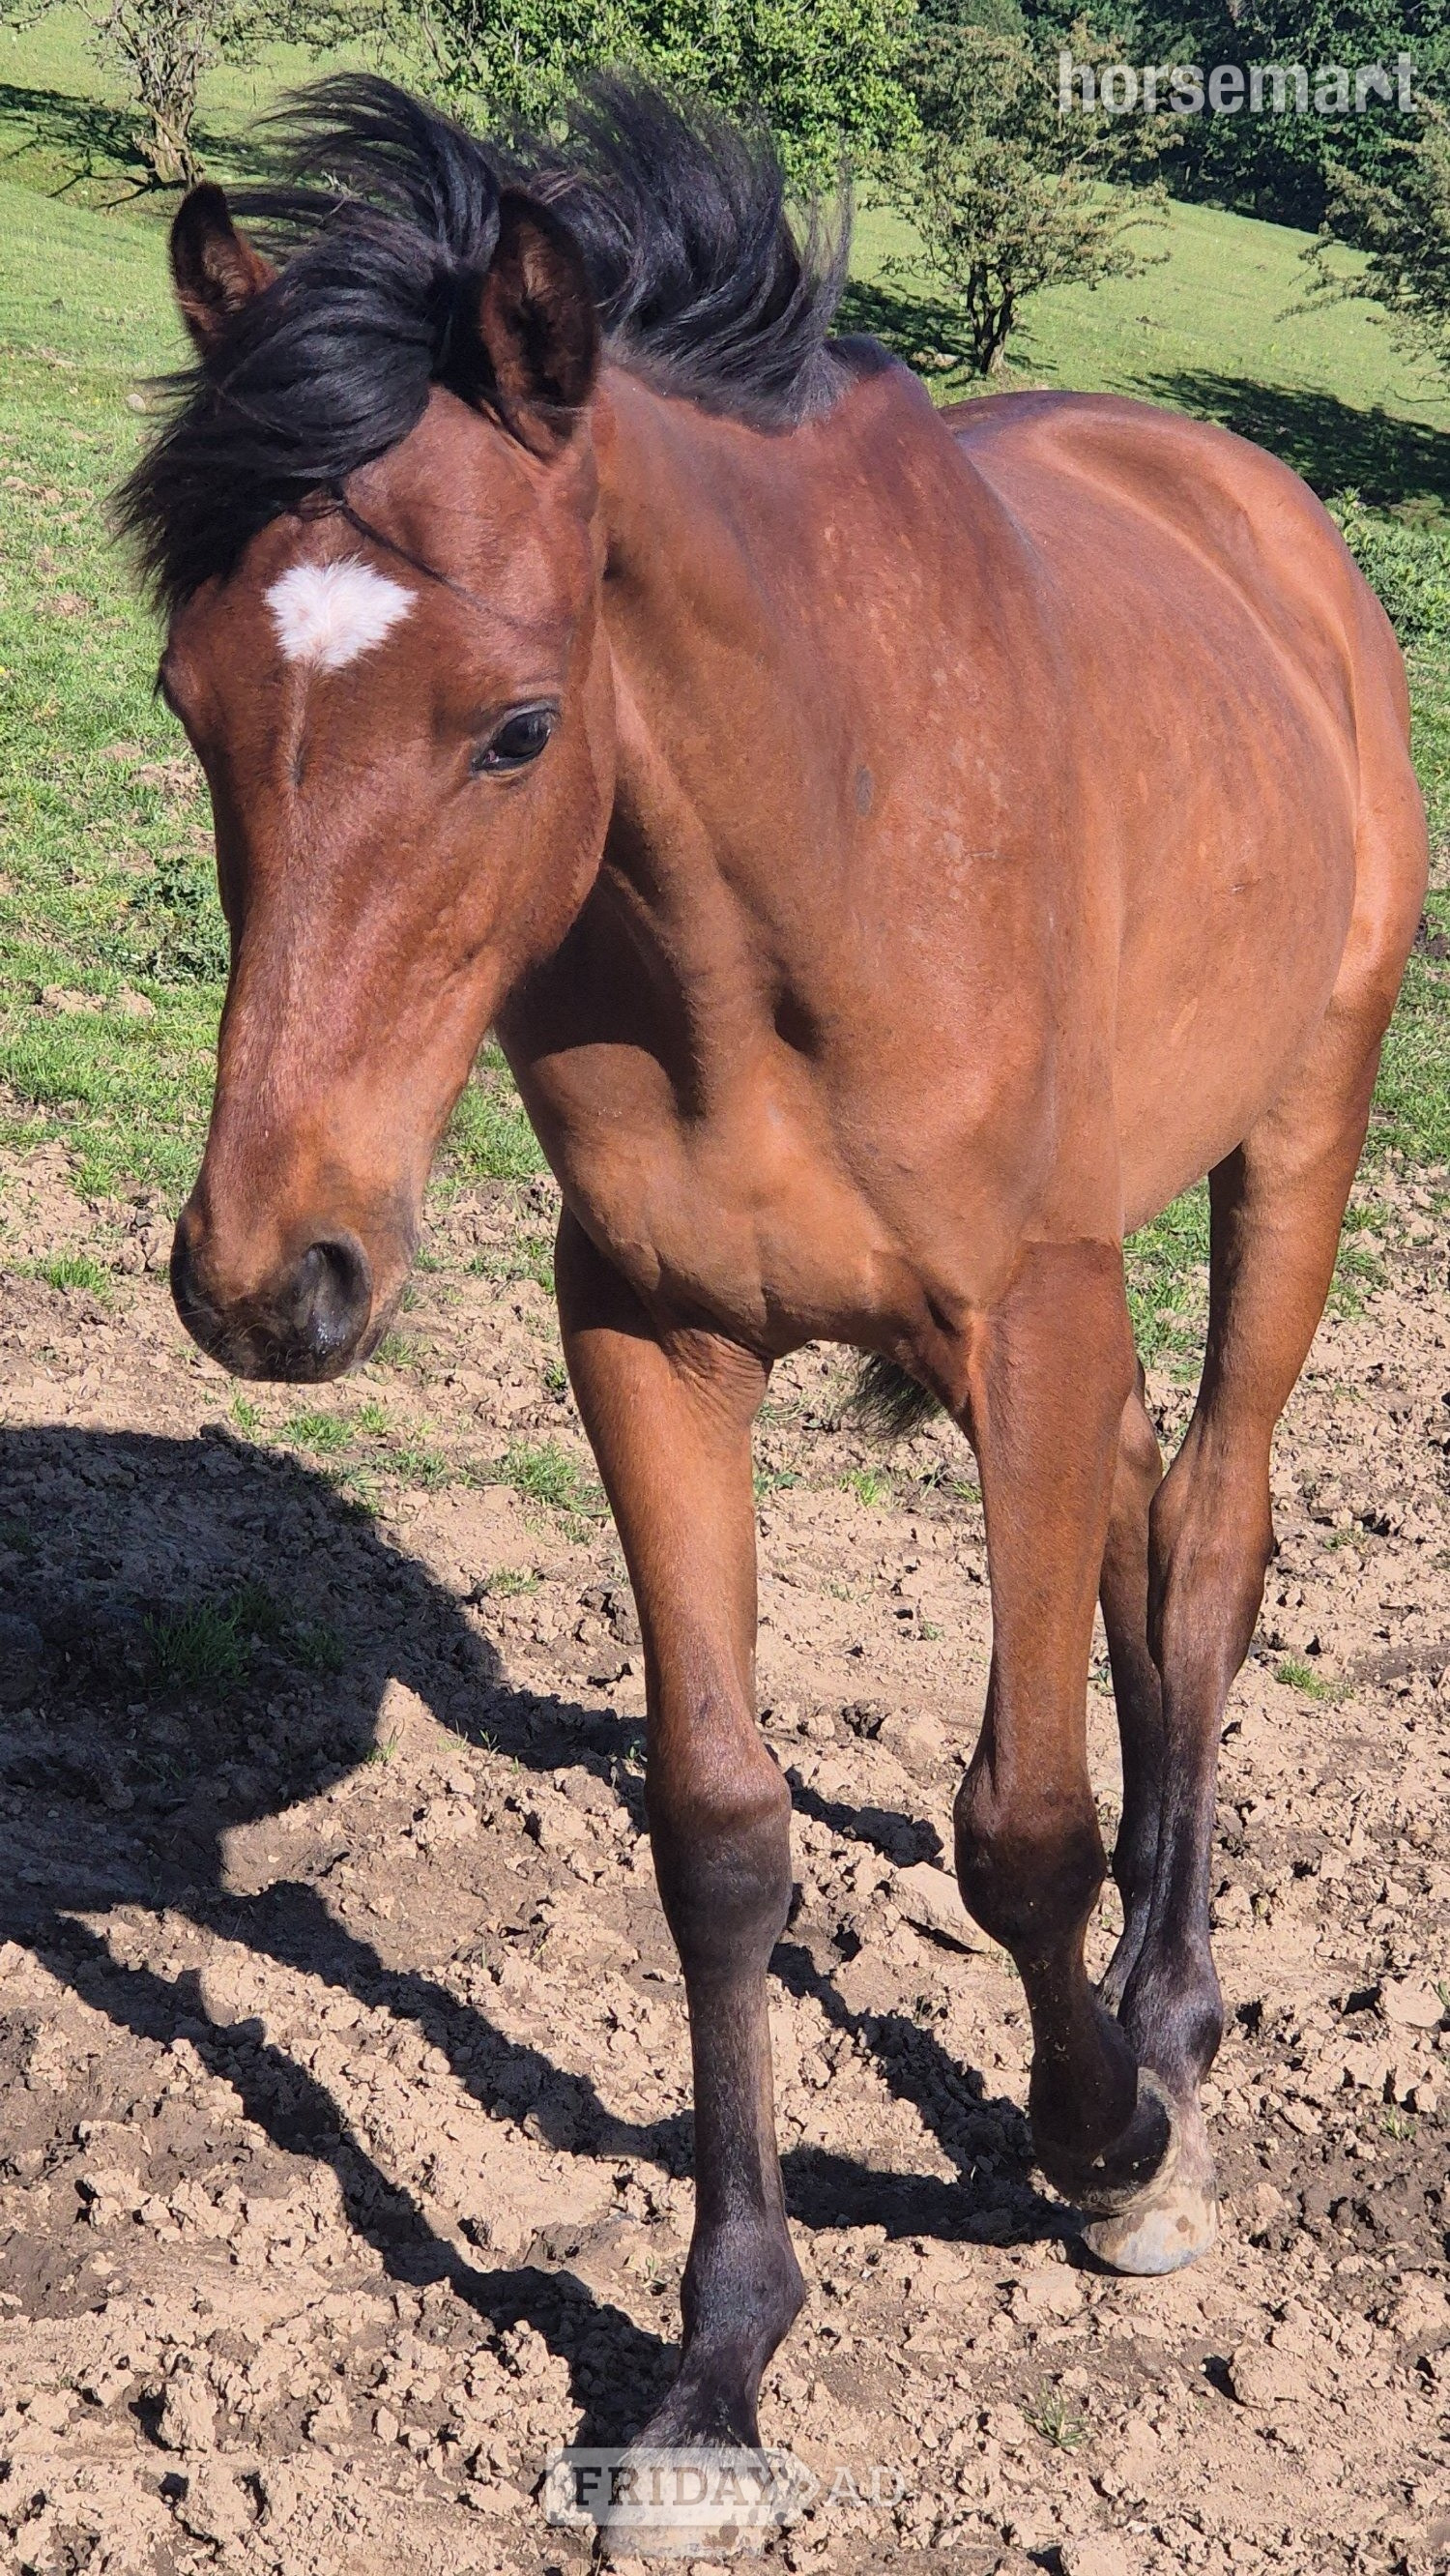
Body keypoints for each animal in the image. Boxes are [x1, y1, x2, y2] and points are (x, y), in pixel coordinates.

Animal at [119, 73, 1426, 2544]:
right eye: (192, 698)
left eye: (517, 726)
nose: (269, 1275)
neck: (794, 864)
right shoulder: (646, 1329)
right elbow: (719, 1835)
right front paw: (716, 2362)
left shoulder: (1031, 1317)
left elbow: (1021, 1822)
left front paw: (1108, 2141)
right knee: (1139, 1542)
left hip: (1290, 1142)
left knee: (1207, 1543)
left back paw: (1171, 2029)